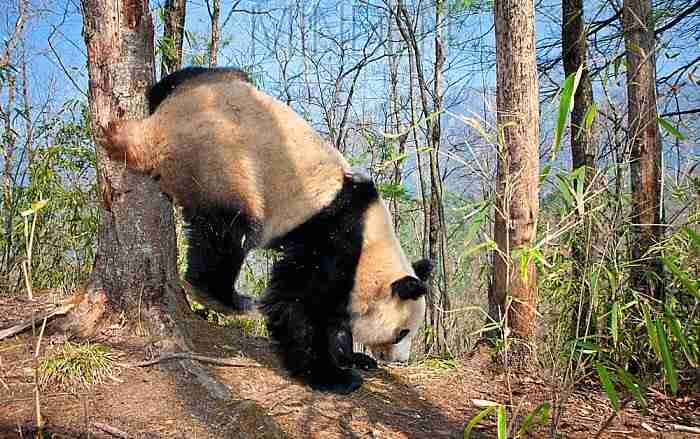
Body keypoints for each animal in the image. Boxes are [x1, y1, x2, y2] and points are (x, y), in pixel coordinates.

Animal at [100, 67, 430, 394]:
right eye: (402, 332)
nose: (399, 360)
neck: (372, 240)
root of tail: (155, 128)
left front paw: (355, 358)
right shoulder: (333, 234)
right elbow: (299, 301)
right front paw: (331, 375)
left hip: (207, 85)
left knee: (182, 79)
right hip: (220, 165)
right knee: (230, 231)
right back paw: (224, 297)